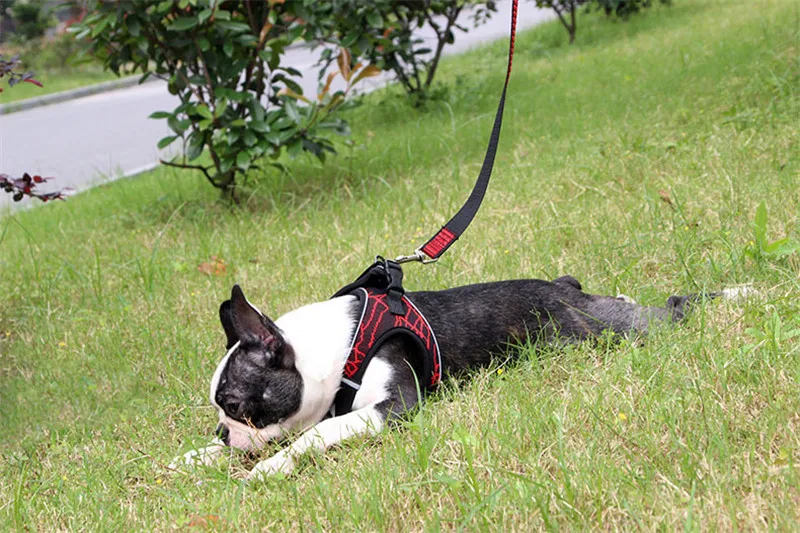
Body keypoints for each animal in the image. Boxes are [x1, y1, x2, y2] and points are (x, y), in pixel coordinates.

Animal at [172, 274, 740, 478]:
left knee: (674, 306)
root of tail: (563, 286)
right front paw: (193, 457)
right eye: (220, 412)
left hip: (606, 330)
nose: (224, 430)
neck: (339, 351)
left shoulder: (391, 409)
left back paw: (740, 294)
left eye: (236, 405)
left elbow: (316, 432)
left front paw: (272, 467)